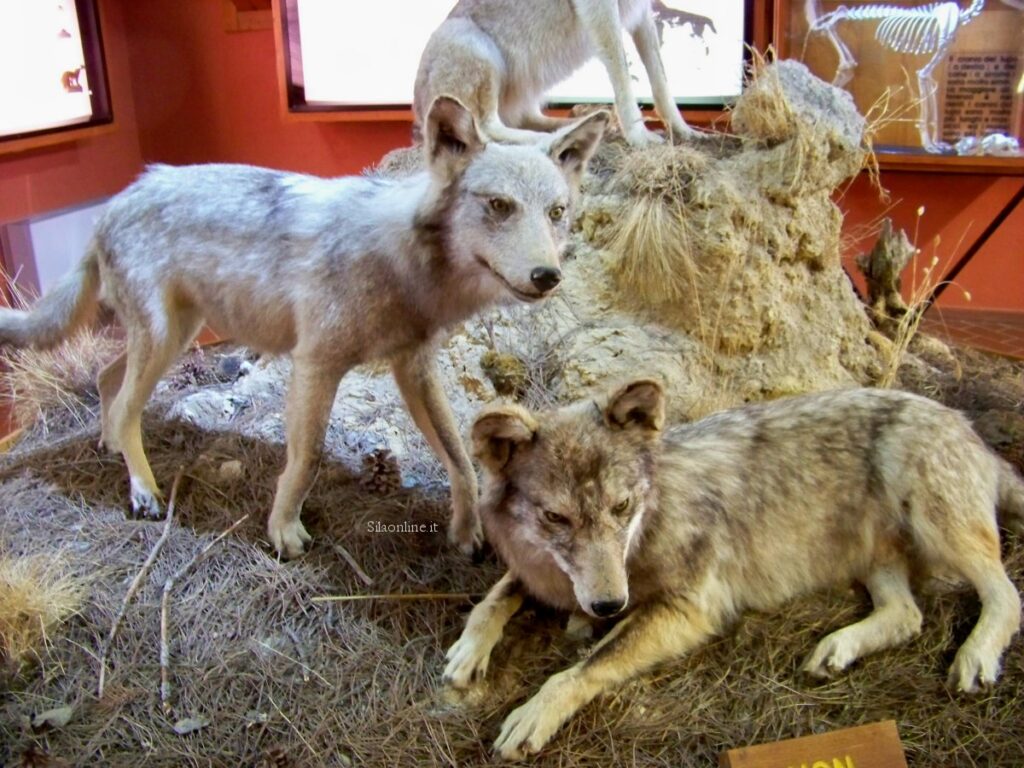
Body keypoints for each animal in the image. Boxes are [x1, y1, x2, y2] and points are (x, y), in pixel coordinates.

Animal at [0, 99, 606, 561]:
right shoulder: (316, 364)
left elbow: (460, 457)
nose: (548, 276)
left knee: (108, 382)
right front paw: (283, 530)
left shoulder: (414, 367)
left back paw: (109, 449)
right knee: (127, 403)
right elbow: (309, 456)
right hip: (165, 339)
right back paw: (144, 492)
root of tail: (118, 198)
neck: (403, 264)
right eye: (499, 205)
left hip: (172, 336)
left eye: (556, 212)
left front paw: (467, 532)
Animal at [415, 0, 696, 147]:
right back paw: (540, 139)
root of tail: (420, 108)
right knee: (486, 128)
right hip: (478, 53)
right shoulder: (600, 8)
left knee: (525, 118)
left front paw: (685, 131)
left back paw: (584, 123)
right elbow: (621, 73)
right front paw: (641, 138)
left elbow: (659, 76)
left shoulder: (643, 12)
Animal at [446, 382, 1024, 761]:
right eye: (556, 518)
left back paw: (975, 656)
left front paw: (534, 713)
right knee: (907, 616)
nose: (609, 606)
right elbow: (493, 600)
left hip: (935, 521)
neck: (649, 525)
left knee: (1006, 592)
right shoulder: (541, 573)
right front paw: (468, 652)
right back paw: (837, 648)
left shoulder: (688, 609)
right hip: (872, 556)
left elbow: (583, 666)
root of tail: (970, 429)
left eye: (621, 506)